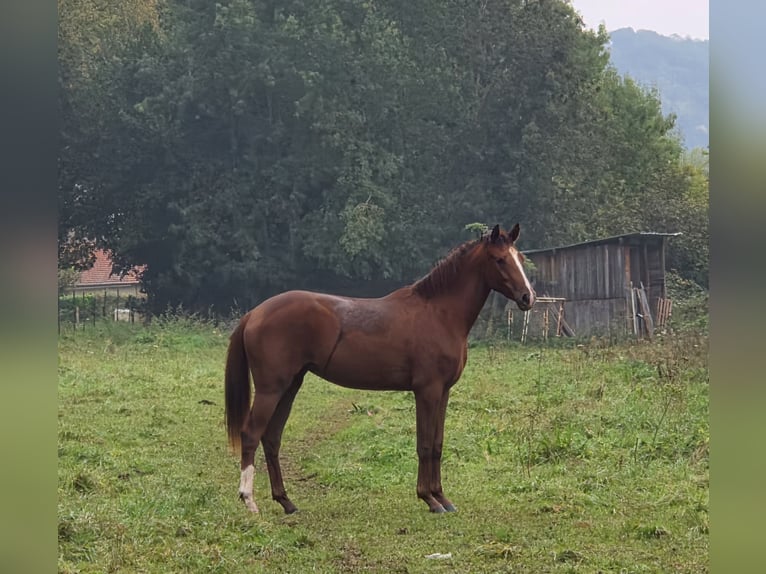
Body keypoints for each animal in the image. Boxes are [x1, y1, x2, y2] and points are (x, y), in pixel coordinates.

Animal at [224, 223, 536, 514]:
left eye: (519, 257)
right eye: (499, 259)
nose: (528, 297)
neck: (439, 313)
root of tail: (255, 313)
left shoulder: (443, 392)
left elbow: (437, 444)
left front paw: (443, 498)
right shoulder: (427, 391)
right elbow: (424, 444)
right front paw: (429, 498)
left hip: (290, 386)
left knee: (272, 437)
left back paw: (286, 502)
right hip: (271, 389)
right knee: (251, 434)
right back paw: (249, 501)